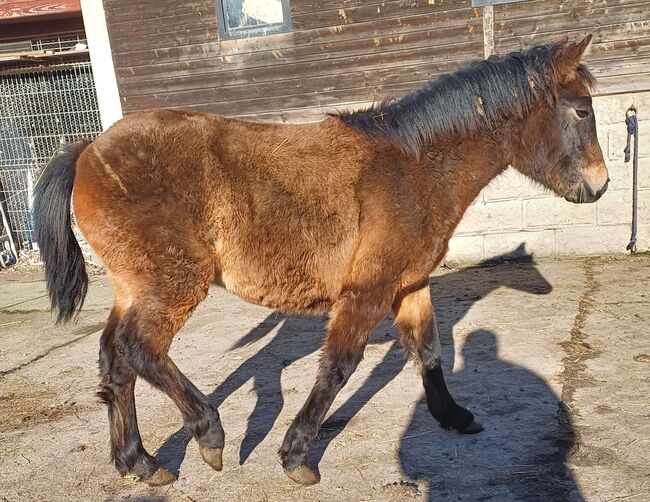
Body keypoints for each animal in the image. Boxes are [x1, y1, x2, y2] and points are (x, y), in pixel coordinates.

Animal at [31, 37, 608, 488]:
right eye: (581, 110)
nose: (600, 186)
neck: (412, 168)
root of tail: (87, 150)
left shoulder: (409, 285)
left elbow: (428, 352)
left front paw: (455, 416)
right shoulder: (368, 291)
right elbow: (338, 368)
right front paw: (296, 456)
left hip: (135, 287)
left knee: (115, 360)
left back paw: (140, 463)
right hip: (173, 284)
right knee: (139, 350)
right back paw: (209, 434)